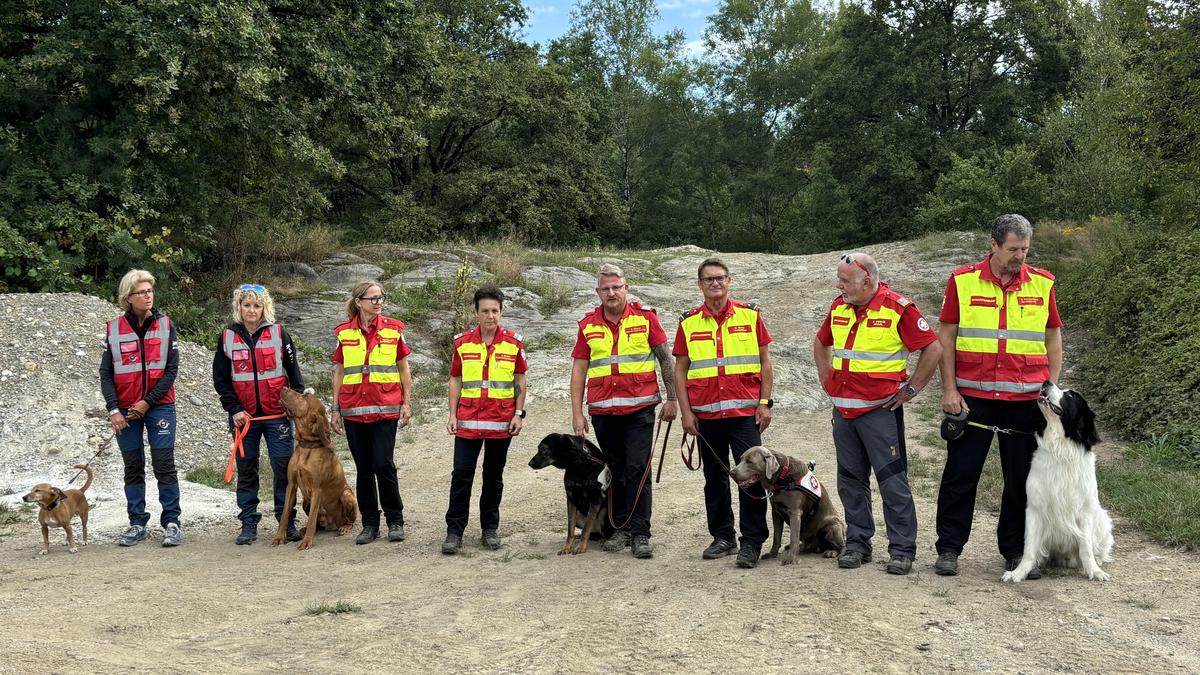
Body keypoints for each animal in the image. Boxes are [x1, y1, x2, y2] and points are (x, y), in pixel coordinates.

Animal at [273, 386, 357, 550]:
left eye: (305, 396)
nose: (284, 387)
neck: (307, 448)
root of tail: (331, 525)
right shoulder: (291, 485)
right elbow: (285, 514)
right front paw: (279, 537)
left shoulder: (316, 489)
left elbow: (312, 518)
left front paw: (307, 541)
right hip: (306, 501)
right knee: (317, 524)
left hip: (347, 495)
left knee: (349, 520)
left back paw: (344, 527)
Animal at [1003, 381, 1113, 581]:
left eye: (1070, 396)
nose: (1046, 381)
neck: (1060, 450)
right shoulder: (1035, 508)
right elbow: (1029, 548)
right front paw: (1019, 572)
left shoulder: (1085, 510)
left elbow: (1086, 547)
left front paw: (1094, 571)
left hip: (1102, 518)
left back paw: (1098, 561)